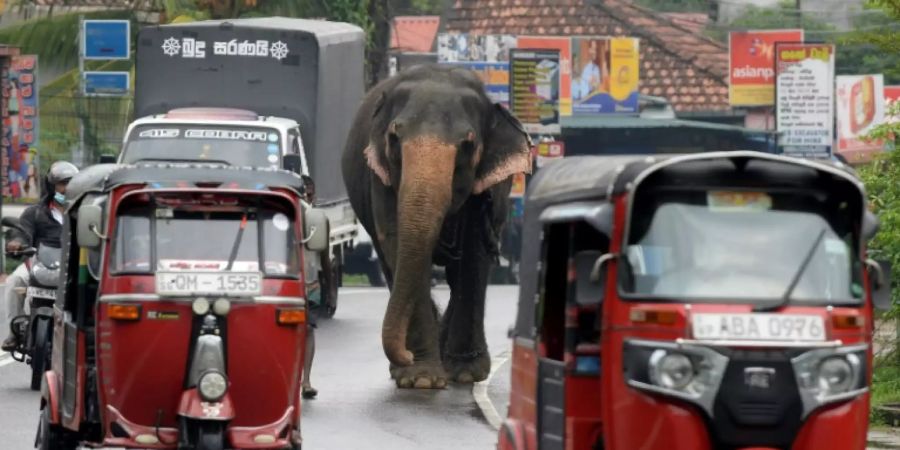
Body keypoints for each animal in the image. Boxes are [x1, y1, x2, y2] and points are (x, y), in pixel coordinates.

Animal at [342, 64, 532, 390]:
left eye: (468, 145)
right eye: (394, 138)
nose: (404, 355)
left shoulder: (486, 191)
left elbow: (473, 253)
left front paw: (466, 373)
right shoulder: (380, 178)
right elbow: (397, 242)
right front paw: (420, 378)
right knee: (390, 265)